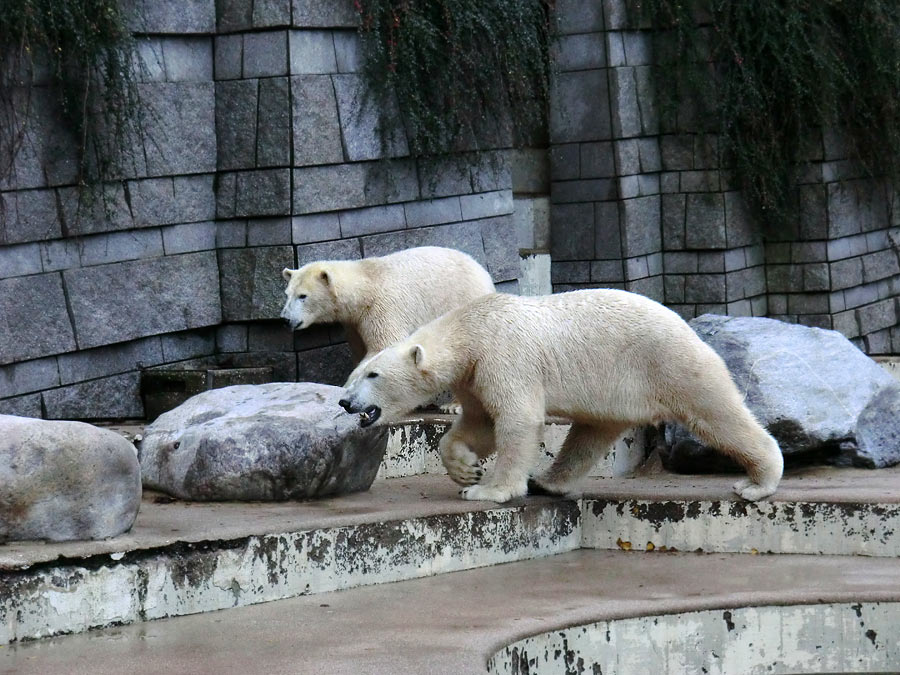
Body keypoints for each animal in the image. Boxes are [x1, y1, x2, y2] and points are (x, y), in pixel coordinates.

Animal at [280, 247, 492, 362]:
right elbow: (360, 349)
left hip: (464, 300)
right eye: (287, 294)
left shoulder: (382, 309)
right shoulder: (354, 322)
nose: (285, 319)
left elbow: (383, 346)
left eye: (303, 296)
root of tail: (483, 271)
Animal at [342, 288, 784, 504]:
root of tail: (685, 325)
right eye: (353, 375)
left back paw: (758, 483)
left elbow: (517, 420)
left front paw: (489, 490)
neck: (471, 328)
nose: (345, 402)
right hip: (617, 388)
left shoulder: (504, 356)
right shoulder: (475, 374)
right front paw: (466, 470)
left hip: (666, 361)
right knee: (589, 435)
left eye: (373, 374)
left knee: (716, 412)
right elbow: (478, 424)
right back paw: (548, 482)